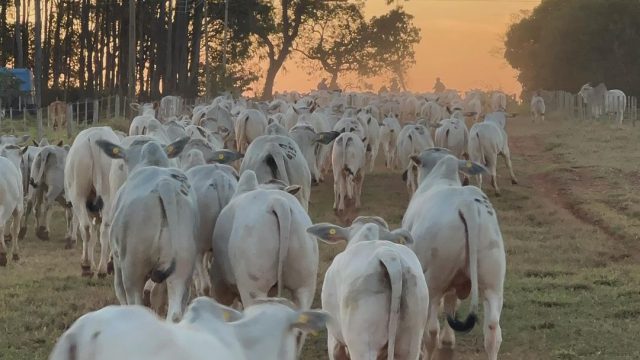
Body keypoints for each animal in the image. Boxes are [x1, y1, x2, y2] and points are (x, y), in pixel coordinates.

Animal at [402, 148, 502, 358]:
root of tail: (467, 205)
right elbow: (452, 305)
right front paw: (448, 340)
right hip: (494, 284)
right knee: (493, 333)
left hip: (433, 282)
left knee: (431, 331)